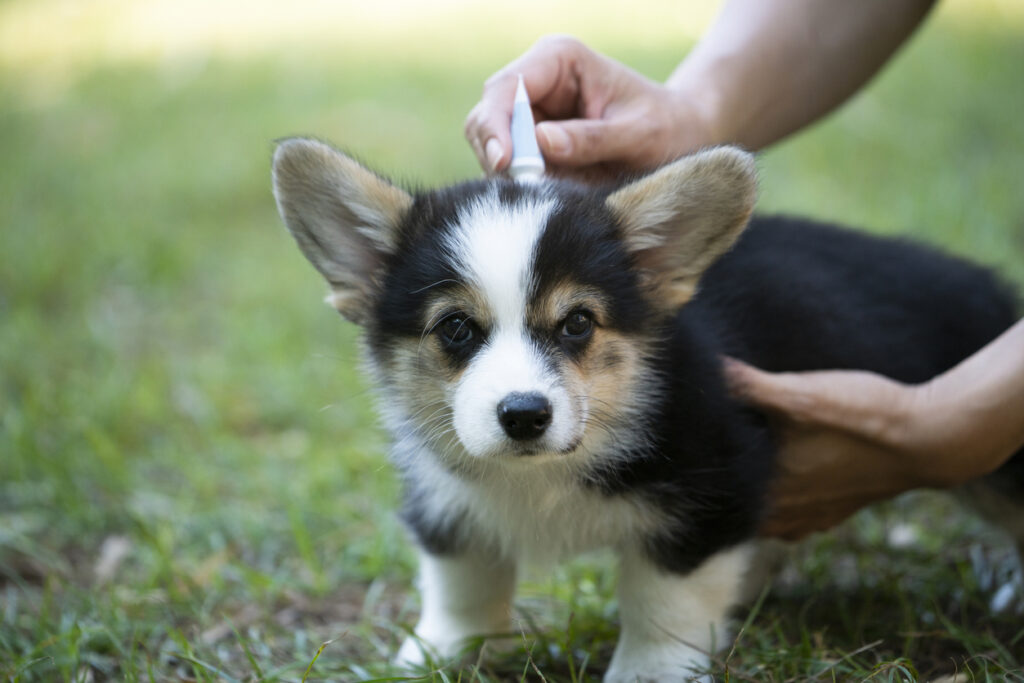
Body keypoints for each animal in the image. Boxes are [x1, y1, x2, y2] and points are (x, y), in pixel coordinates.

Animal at [272, 136, 1024, 679]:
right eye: (455, 328)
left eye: (578, 322)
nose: (524, 415)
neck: (545, 472)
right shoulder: (445, 499)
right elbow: (461, 582)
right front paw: (440, 652)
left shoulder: (712, 490)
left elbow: (664, 599)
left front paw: (650, 670)